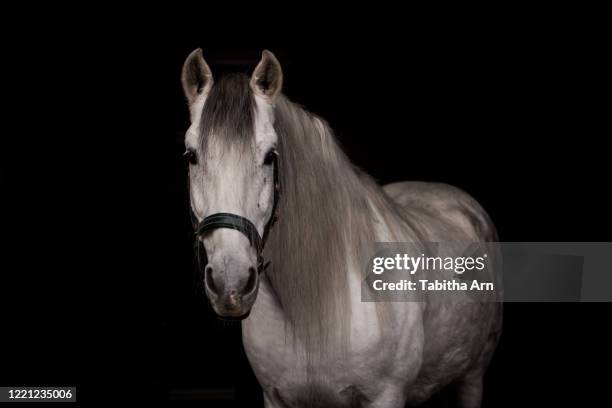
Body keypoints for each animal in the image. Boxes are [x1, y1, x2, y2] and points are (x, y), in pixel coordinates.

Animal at [180, 49, 502, 406]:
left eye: (270, 156)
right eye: (191, 156)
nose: (231, 283)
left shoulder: (386, 396)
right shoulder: (275, 397)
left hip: (473, 377)